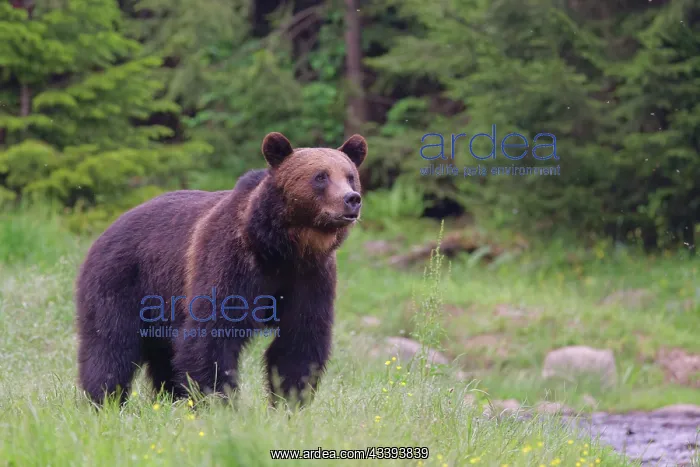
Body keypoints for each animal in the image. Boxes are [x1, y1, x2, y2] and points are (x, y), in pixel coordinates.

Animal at [75, 132, 367, 407]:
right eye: (321, 176)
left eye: (350, 176)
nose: (351, 199)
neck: (278, 249)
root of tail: (107, 229)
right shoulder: (229, 263)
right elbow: (211, 336)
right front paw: (219, 403)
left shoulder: (310, 276)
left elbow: (299, 341)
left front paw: (290, 402)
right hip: (123, 280)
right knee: (110, 344)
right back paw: (104, 399)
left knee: (161, 355)